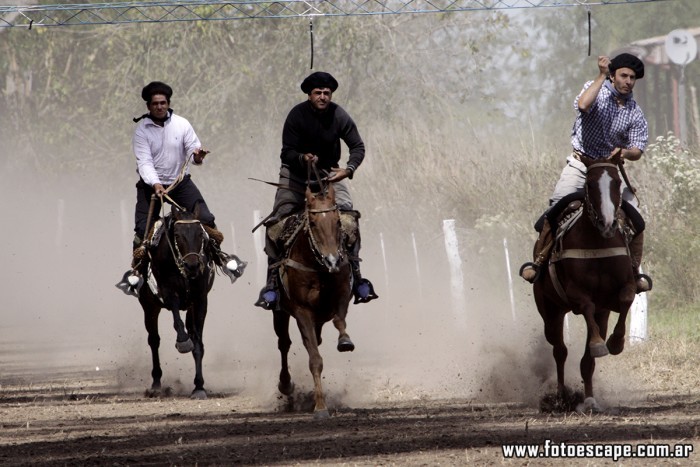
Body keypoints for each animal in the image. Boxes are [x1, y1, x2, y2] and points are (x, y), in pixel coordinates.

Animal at [137, 207, 213, 400]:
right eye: (178, 235)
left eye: (200, 233)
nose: (192, 265)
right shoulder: (169, 293)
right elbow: (177, 322)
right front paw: (183, 342)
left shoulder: (200, 299)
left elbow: (198, 342)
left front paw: (199, 387)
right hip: (149, 306)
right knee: (154, 340)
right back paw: (156, 384)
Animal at [270, 181, 352, 418]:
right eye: (313, 223)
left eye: (337, 221)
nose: (333, 260)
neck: (319, 268)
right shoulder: (302, 311)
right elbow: (314, 358)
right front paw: (321, 407)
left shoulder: (343, 294)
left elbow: (339, 320)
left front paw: (345, 341)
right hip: (279, 313)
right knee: (284, 343)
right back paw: (286, 385)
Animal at [532, 154, 636, 414]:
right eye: (589, 183)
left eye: (617, 183)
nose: (608, 223)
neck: (598, 242)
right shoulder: (576, 293)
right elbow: (586, 307)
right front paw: (600, 344)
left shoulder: (614, 297)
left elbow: (626, 299)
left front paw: (616, 342)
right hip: (550, 311)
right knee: (559, 350)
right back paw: (560, 396)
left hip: (599, 314)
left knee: (585, 360)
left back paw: (588, 399)